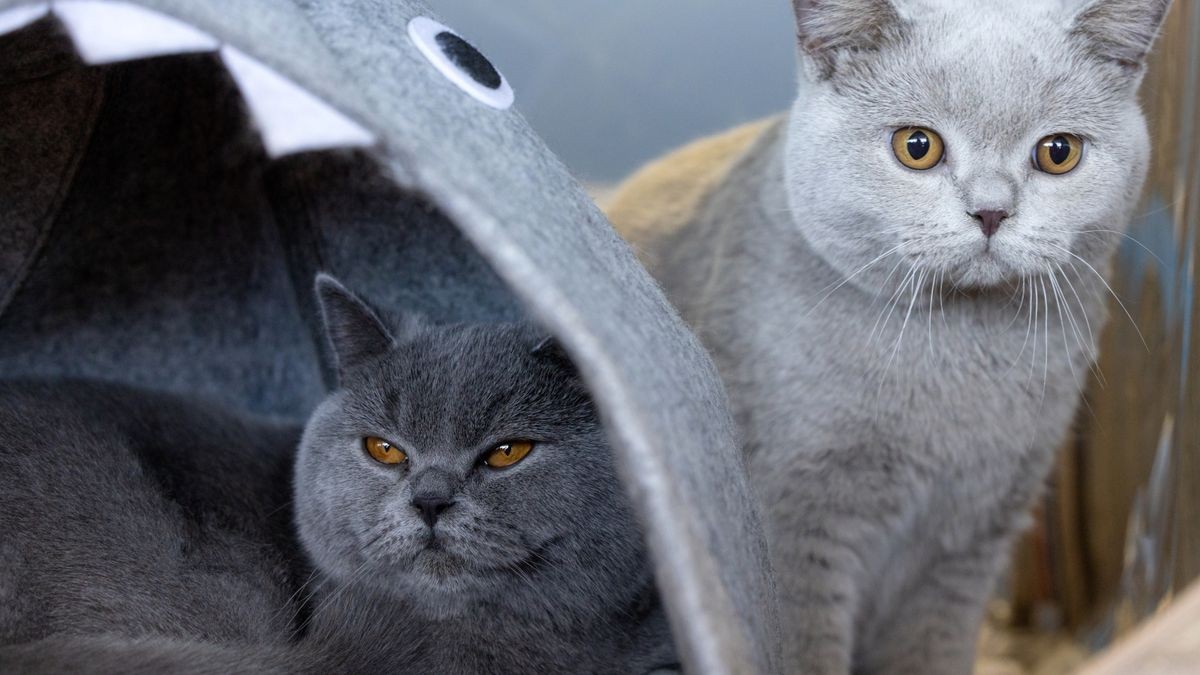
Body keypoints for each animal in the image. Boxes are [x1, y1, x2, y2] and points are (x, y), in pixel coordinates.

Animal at [609, 0, 1171, 667]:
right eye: (917, 147)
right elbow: (807, 648)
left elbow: (930, 650)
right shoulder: (796, 525)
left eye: (1058, 152)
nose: (991, 211)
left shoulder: (972, 544)